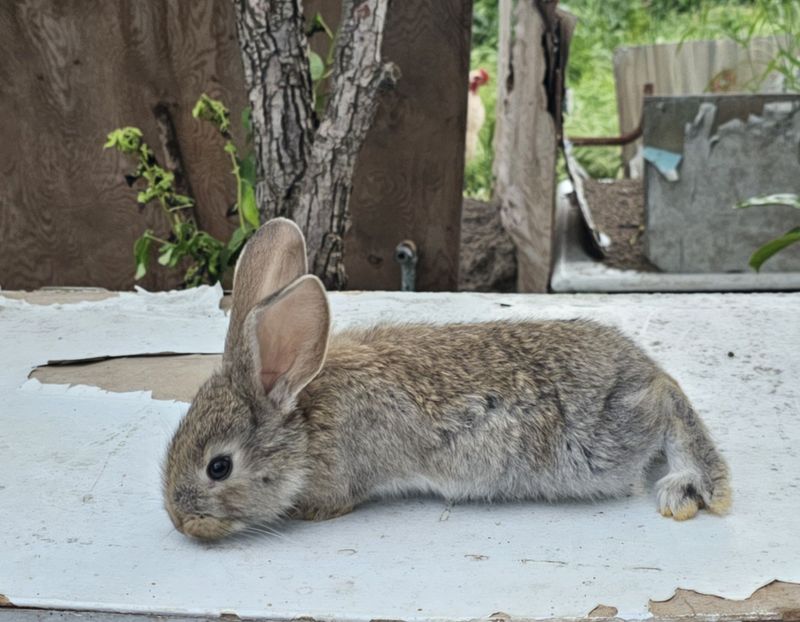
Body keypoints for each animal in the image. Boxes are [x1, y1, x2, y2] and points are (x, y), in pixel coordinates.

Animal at [164, 218, 732, 540]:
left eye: (219, 467)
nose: (180, 521)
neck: (302, 421)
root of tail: (640, 367)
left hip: (608, 439)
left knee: (666, 405)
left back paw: (688, 484)